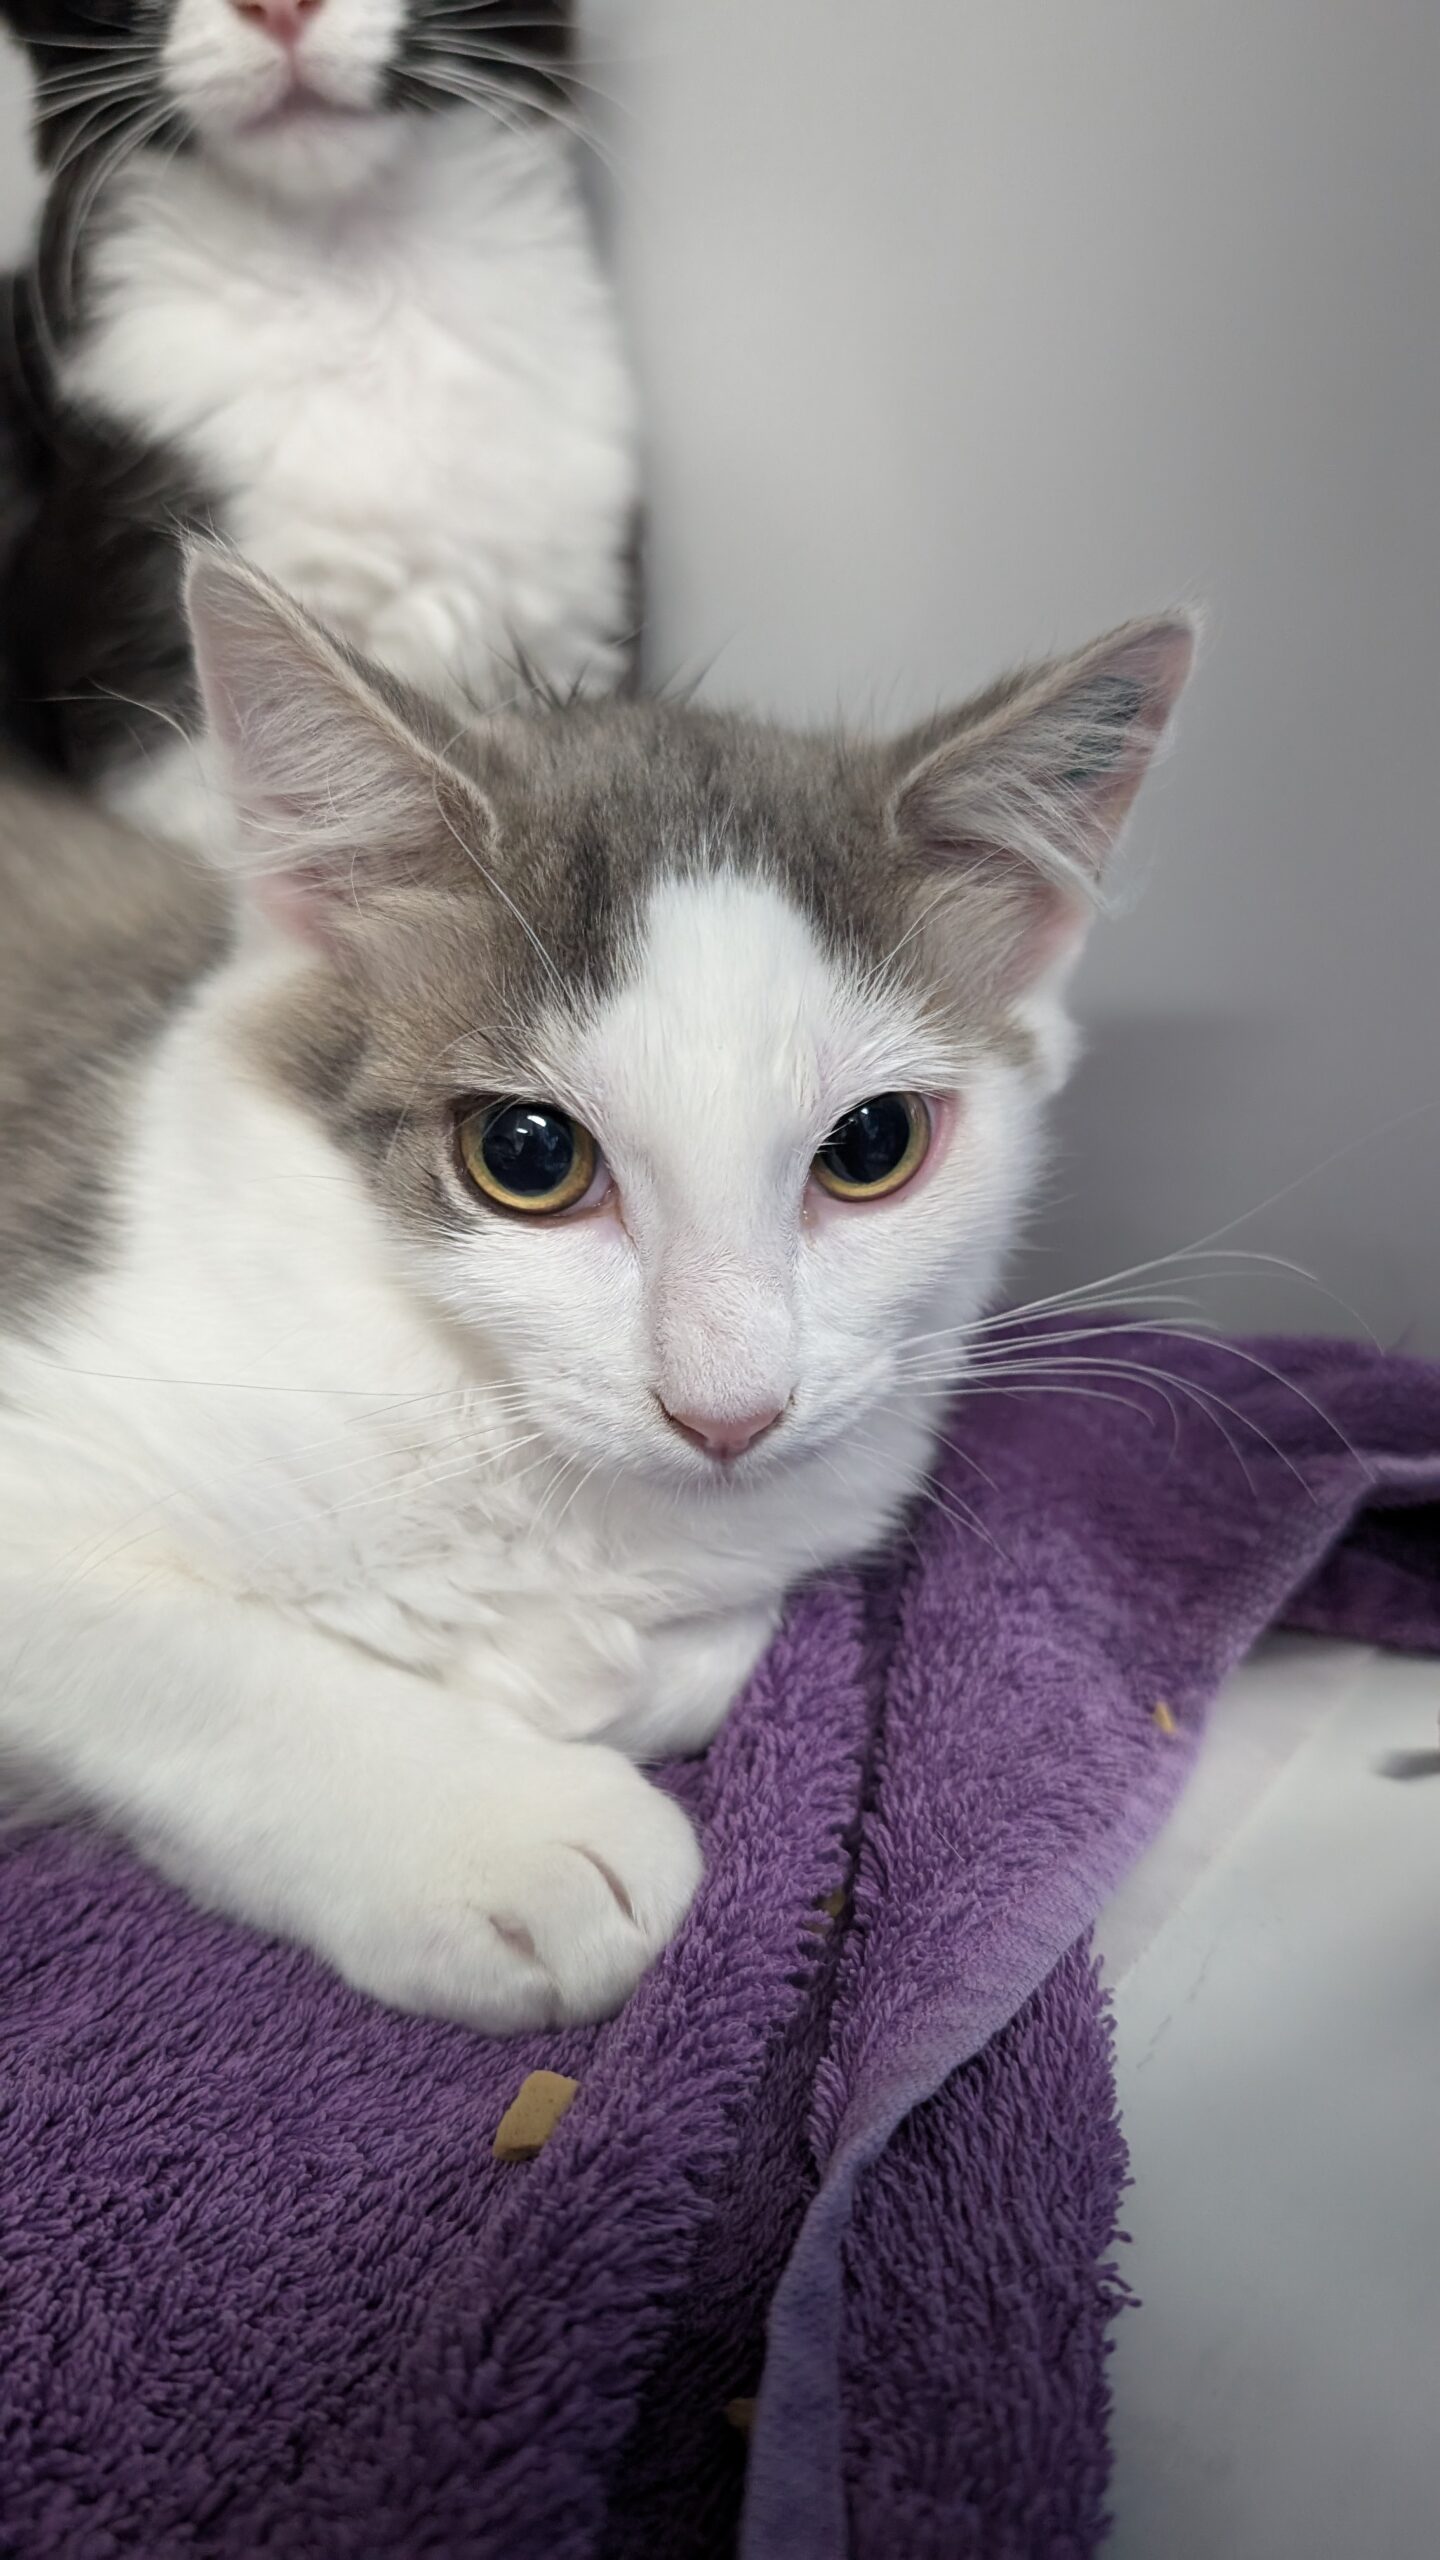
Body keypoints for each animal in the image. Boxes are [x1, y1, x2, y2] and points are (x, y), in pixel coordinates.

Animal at [0, 544, 1193, 2028]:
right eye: (526, 1156)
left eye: (873, 1146)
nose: (728, 1411)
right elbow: (182, 1659)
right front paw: (506, 1834)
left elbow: (708, 1648)